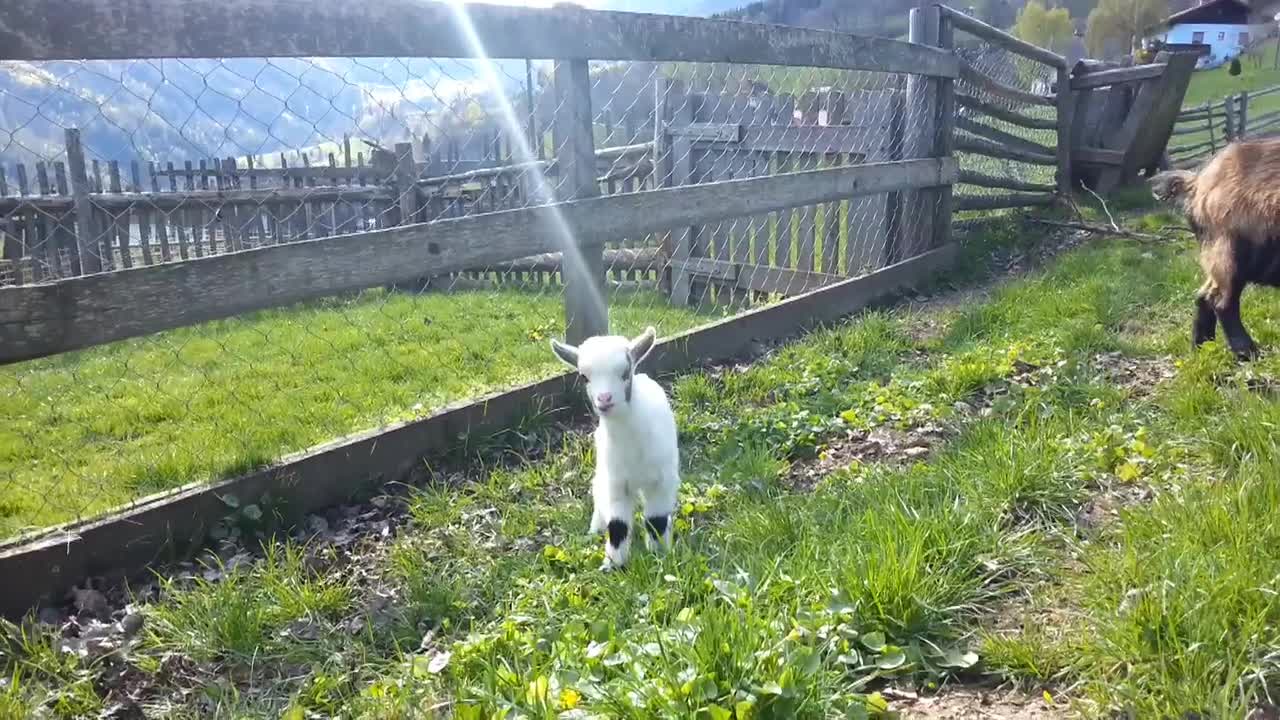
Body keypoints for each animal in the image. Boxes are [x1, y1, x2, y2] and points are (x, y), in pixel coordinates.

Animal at [550, 326, 680, 570]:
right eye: (584, 377)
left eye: (625, 372)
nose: (604, 398)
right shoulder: (616, 483)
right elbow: (618, 525)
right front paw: (613, 565)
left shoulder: (661, 481)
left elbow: (656, 520)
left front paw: (659, 556)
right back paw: (595, 529)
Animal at [1151, 139, 1280, 359]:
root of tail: (1197, 182)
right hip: (1228, 251)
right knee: (1221, 301)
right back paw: (1246, 351)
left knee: (1203, 295)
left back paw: (1201, 347)